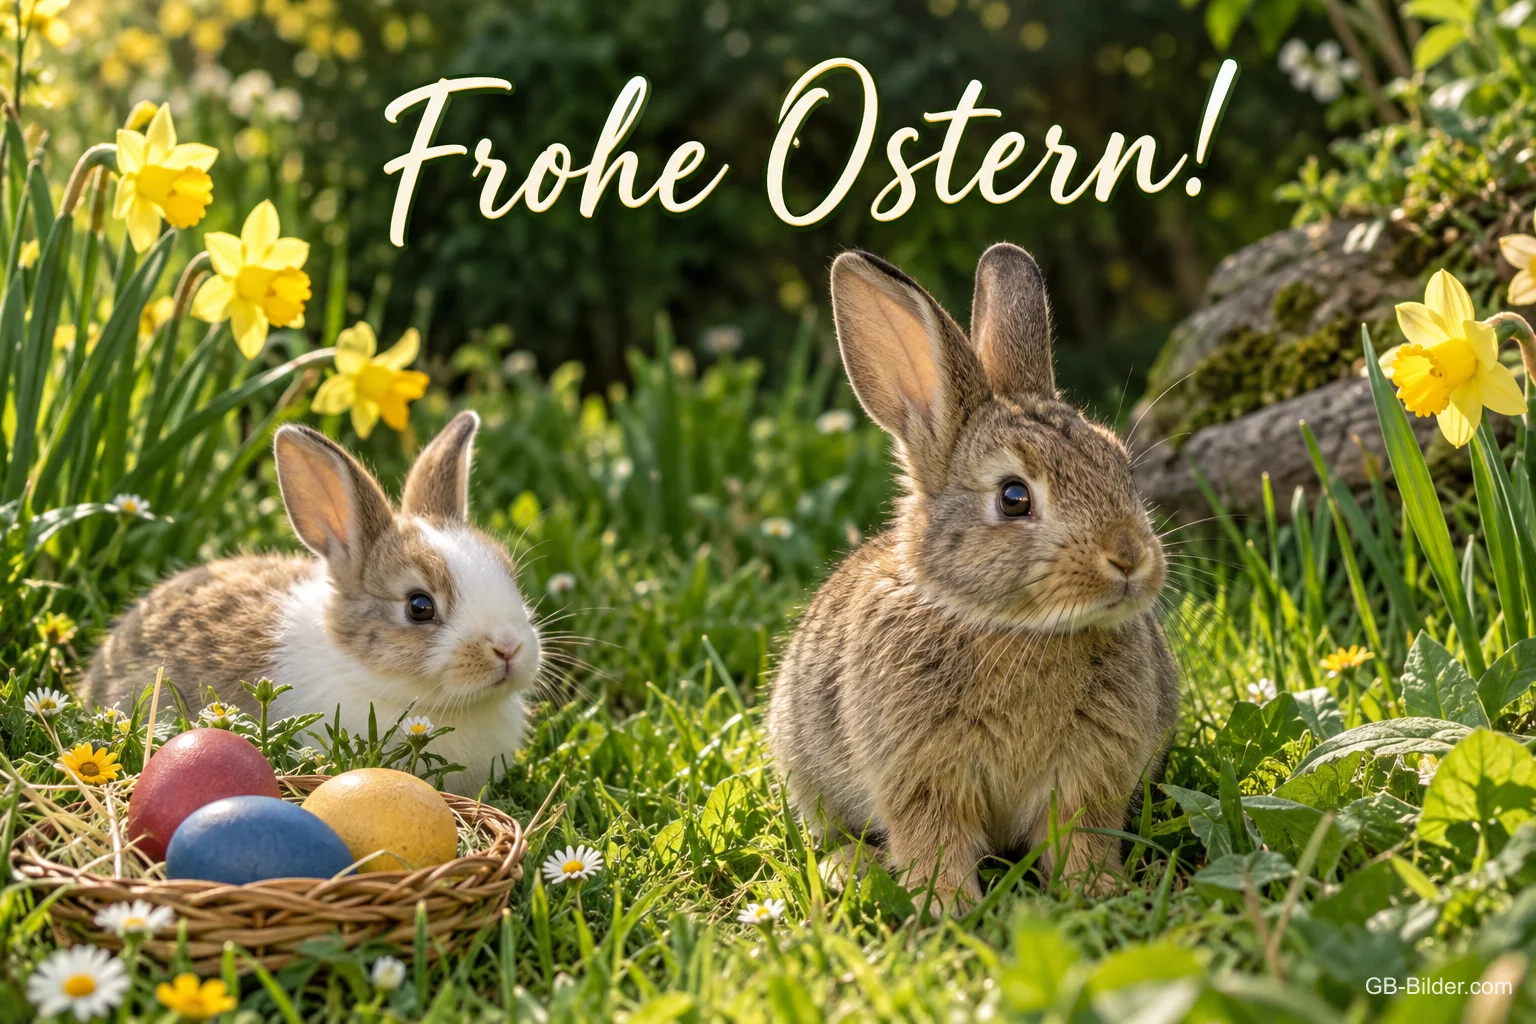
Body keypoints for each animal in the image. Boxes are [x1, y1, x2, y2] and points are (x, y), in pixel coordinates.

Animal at [766, 244, 1179, 908]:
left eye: (1120, 464)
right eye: (1014, 498)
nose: (1129, 557)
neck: (1015, 630)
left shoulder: (1089, 774)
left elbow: (1082, 834)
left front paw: (1095, 891)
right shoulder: (921, 775)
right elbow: (934, 839)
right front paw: (947, 905)